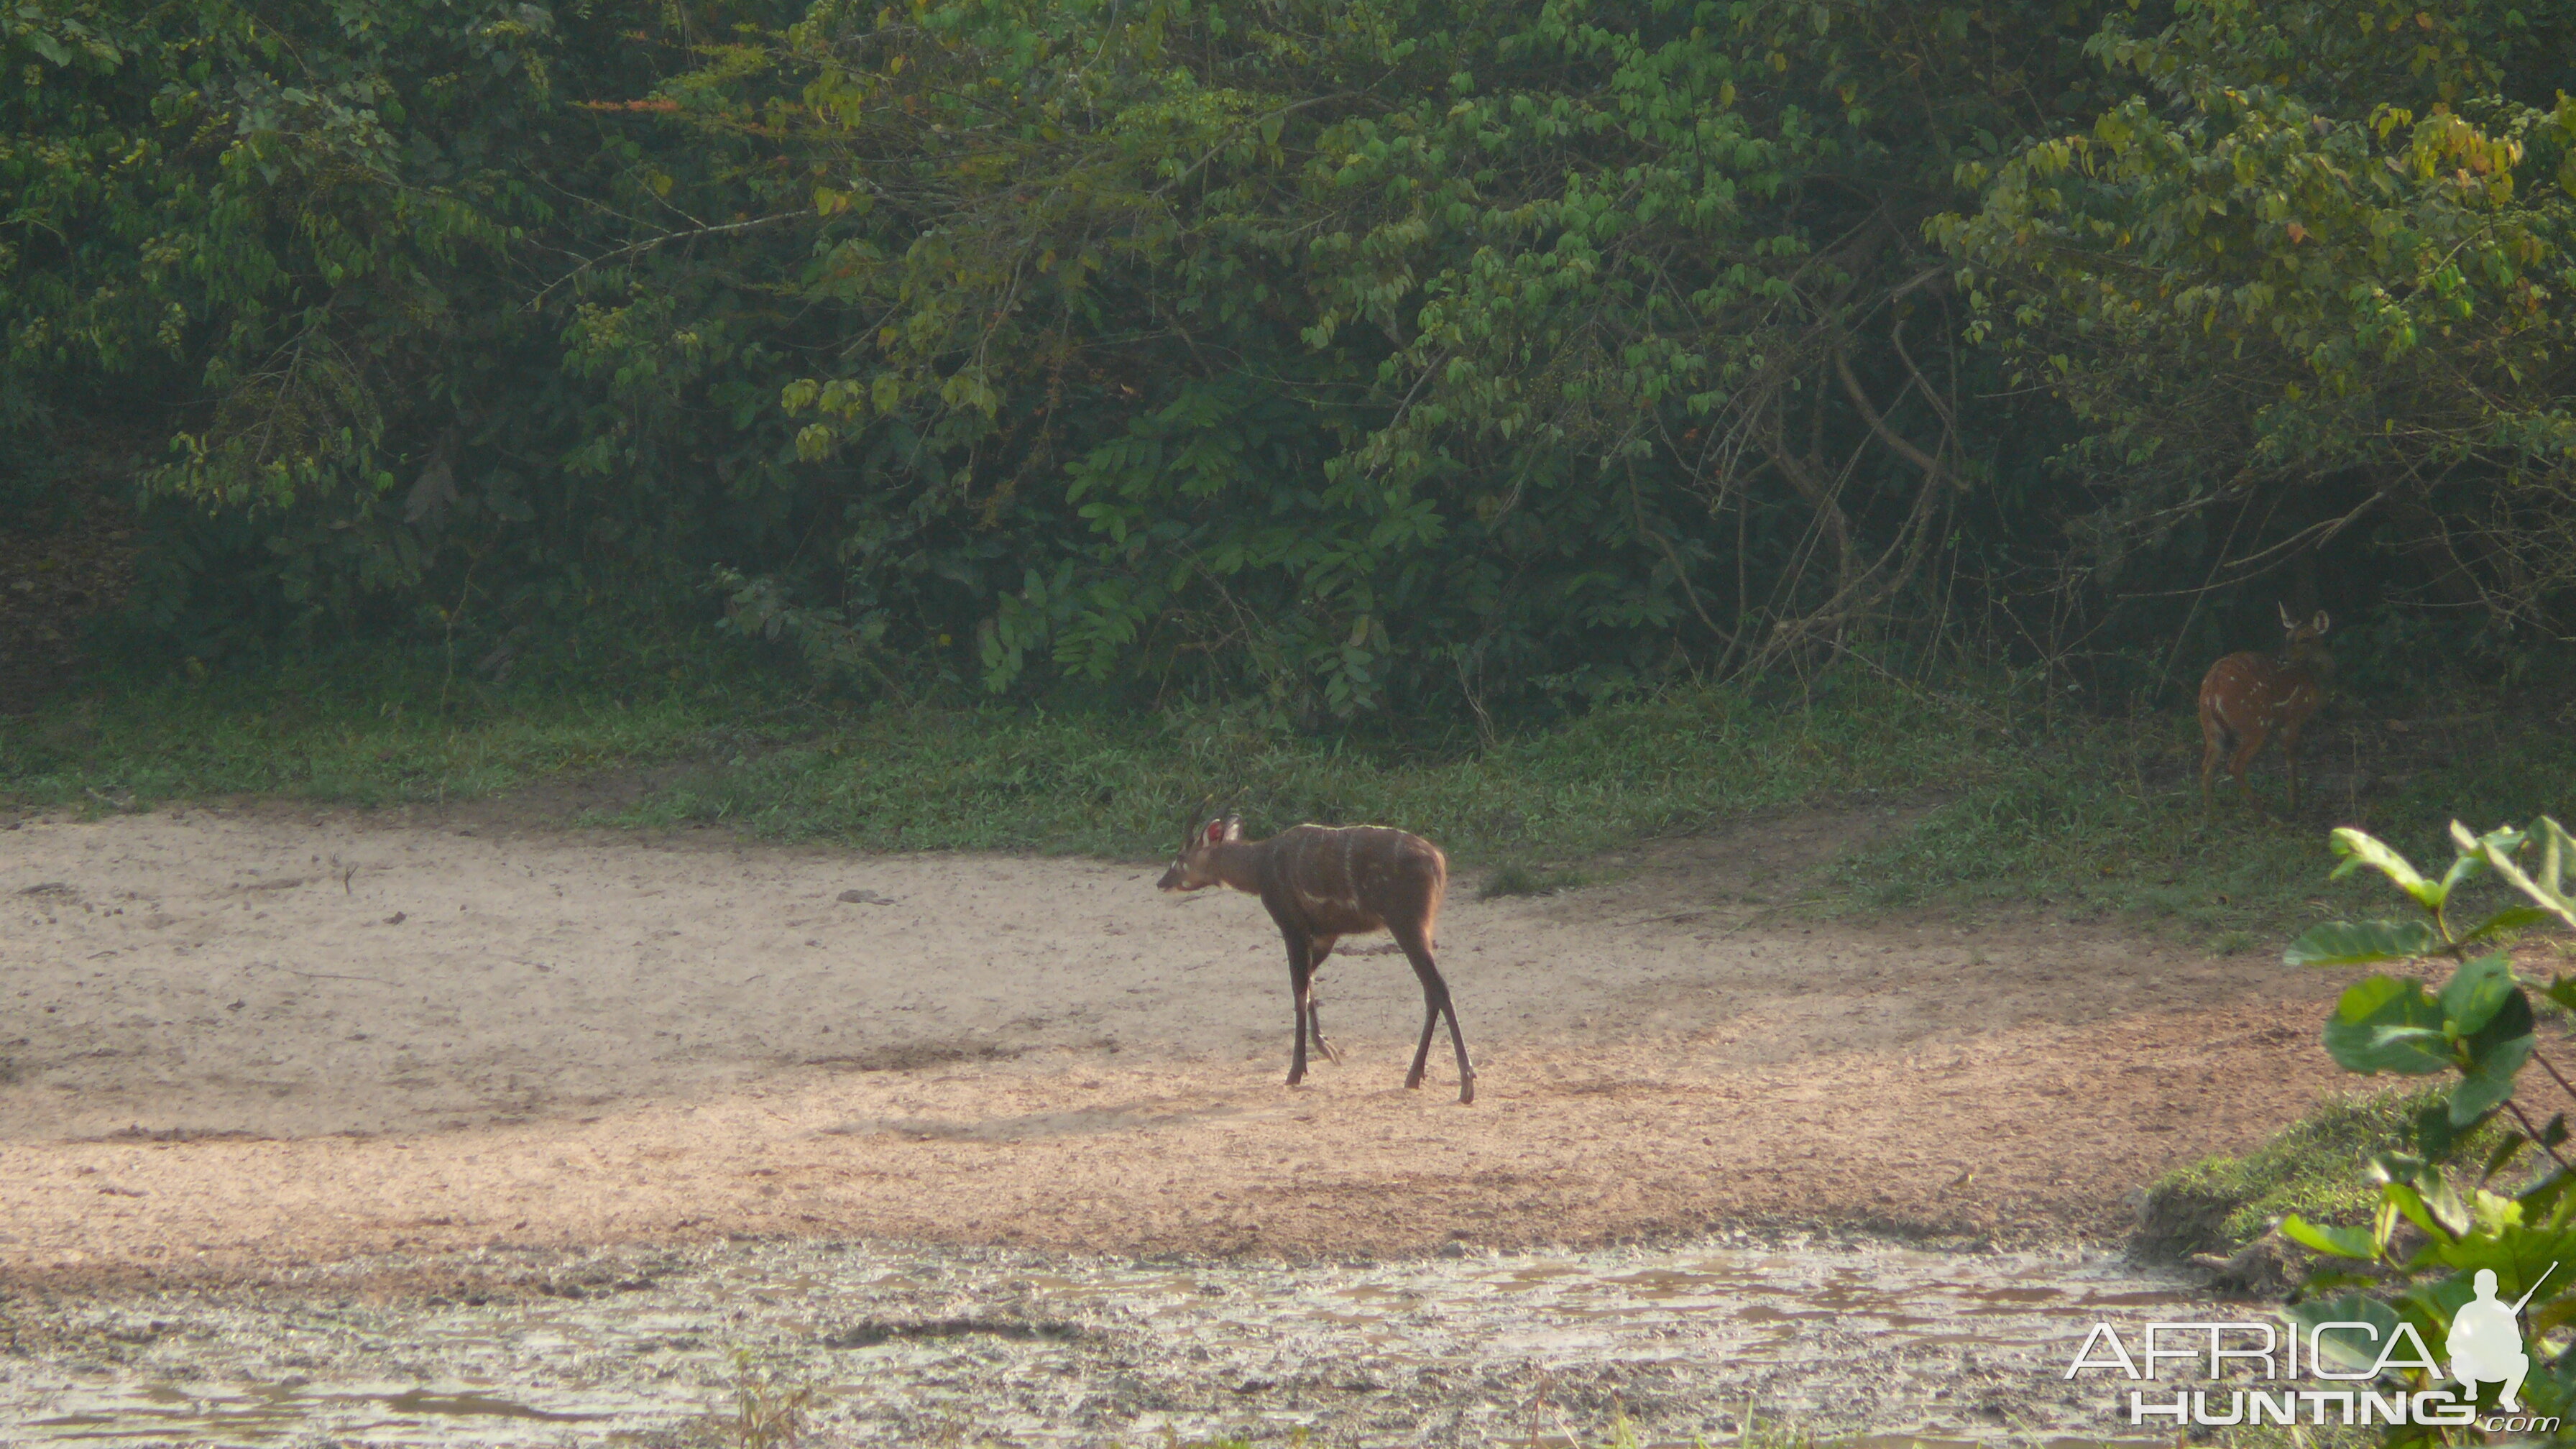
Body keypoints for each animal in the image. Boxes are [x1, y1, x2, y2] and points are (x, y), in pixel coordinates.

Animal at [1164, 804, 1484, 1098]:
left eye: (1180, 858)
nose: (1162, 882)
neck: (1260, 868)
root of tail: (1439, 863)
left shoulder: (1291, 924)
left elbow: (1298, 991)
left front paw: (1296, 1071)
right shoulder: (1326, 933)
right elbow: (1310, 984)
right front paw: (1329, 1050)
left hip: (1407, 922)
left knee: (1438, 987)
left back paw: (1465, 1083)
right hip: (1419, 927)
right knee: (1431, 990)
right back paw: (1415, 1076)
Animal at [2194, 603, 2339, 814]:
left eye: (2305, 639)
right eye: (2288, 637)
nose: (2282, 658)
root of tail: (2213, 689)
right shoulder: (2293, 717)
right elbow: (2291, 759)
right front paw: (2294, 806)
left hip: (2211, 726)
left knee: (2206, 765)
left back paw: (2210, 816)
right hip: (2255, 722)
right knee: (2235, 764)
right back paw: (2264, 815)